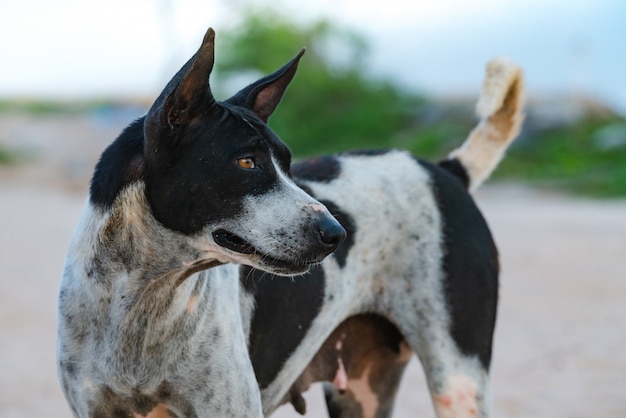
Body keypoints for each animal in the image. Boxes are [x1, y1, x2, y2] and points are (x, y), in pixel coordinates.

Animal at [58, 27, 520, 418]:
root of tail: (446, 170)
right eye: (247, 162)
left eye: (288, 162)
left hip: (458, 381)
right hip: (362, 393)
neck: (143, 299)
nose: (337, 234)